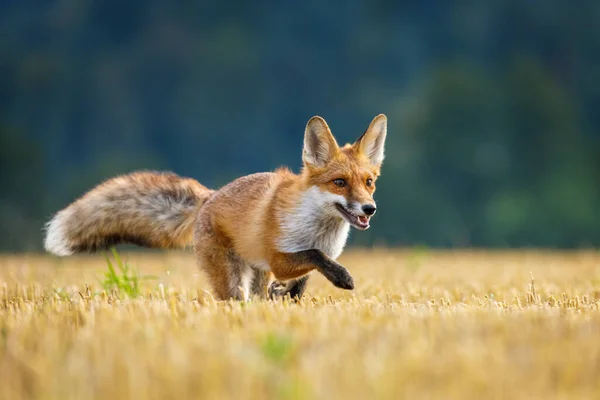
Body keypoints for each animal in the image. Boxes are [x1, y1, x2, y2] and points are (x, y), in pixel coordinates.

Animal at [43, 115, 390, 300]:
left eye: (369, 182)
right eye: (340, 182)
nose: (369, 208)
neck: (318, 229)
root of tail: (209, 196)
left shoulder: (293, 264)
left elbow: (303, 281)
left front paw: (289, 296)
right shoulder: (279, 258)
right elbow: (314, 256)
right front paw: (342, 277)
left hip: (254, 272)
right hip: (231, 278)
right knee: (234, 301)